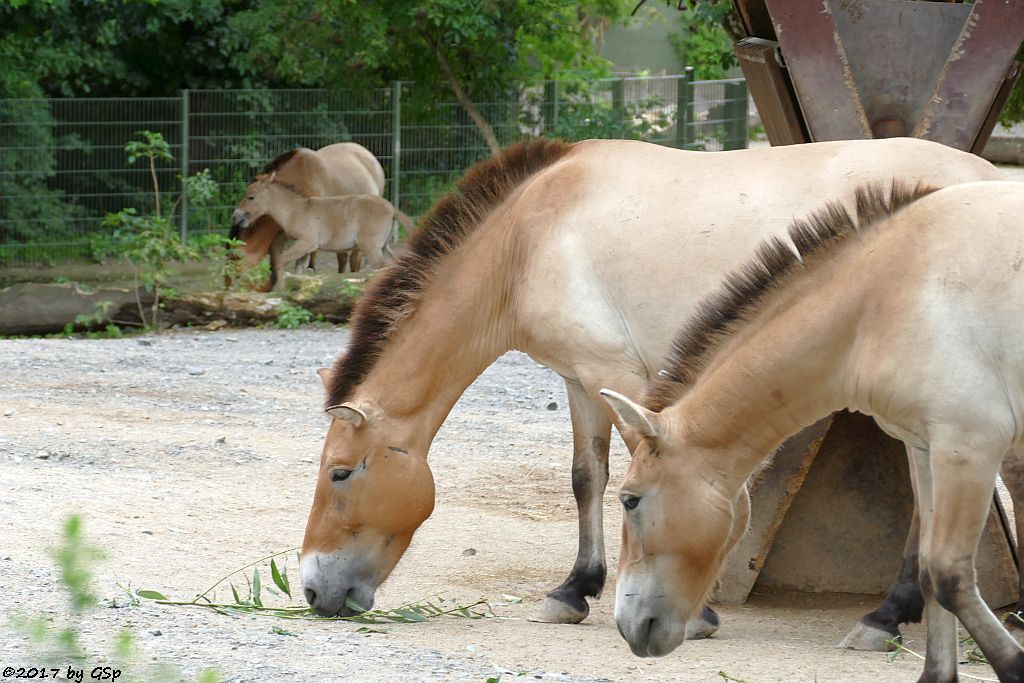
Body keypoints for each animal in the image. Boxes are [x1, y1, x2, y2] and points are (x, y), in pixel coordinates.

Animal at [227, 141, 385, 288]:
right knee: (342, 260)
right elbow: (277, 263)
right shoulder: (279, 236)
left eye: (237, 273)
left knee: (354, 261)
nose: (235, 216)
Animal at [231, 175, 411, 284]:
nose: (235, 216)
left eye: (251, 197)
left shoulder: (306, 243)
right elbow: (298, 271)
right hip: (382, 247)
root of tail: (392, 209)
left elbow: (281, 261)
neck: (294, 210)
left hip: (371, 249)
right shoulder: (304, 249)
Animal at [299, 136, 1003, 638]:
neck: (529, 241)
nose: (310, 590)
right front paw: (574, 590)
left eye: (340, 473)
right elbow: (587, 478)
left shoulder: (620, 379)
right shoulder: (580, 381)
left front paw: (695, 613)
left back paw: (885, 617)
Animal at [598, 181, 1024, 683]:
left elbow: (949, 574)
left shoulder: (967, 448)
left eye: (630, 500)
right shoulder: (927, 448)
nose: (628, 626)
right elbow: (928, 571)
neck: (885, 294)